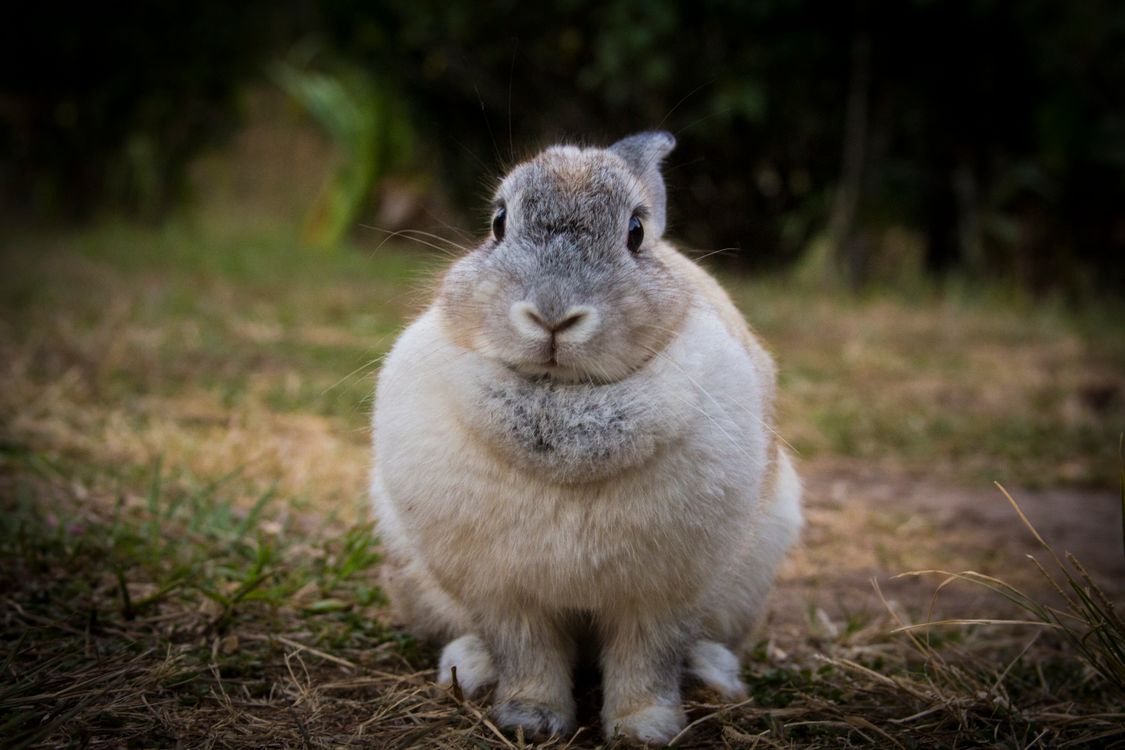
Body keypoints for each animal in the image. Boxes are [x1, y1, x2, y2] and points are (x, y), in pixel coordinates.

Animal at [370, 131, 802, 745]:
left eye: (636, 232)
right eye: (498, 222)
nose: (552, 315)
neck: (562, 398)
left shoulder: (661, 597)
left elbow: (646, 662)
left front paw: (645, 729)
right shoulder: (506, 596)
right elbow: (529, 657)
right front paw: (530, 720)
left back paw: (713, 674)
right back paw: (469, 667)